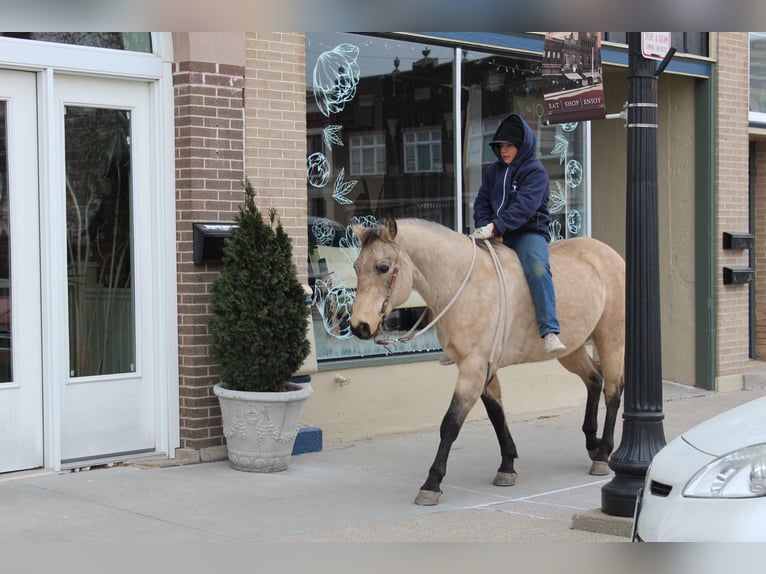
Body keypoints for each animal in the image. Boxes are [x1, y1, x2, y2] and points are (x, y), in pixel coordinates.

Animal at [352, 218, 628, 506]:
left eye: (383, 267)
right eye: (356, 267)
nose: (360, 326)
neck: (463, 283)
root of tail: (609, 254)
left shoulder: (473, 368)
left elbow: (450, 424)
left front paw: (432, 483)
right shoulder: (483, 368)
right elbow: (496, 414)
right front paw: (507, 465)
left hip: (611, 338)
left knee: (612, 391)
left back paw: (603, 454)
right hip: (571, 350)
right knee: (594, 379)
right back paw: (592, 442)